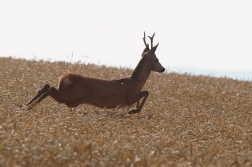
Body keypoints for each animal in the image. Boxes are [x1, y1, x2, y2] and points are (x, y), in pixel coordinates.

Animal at [27, 32, 165, 114]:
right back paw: (30, 106)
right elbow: (147, 92)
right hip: (73, 98)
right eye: (157, 59)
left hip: (69, 96)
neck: (136, 81)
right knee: (50, 89)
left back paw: (25, 105)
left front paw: (134, 109)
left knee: (47, 86)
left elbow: (145, 92)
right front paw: (134, 110)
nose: (163, 69)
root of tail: (63, 78)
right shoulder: (129, 97)